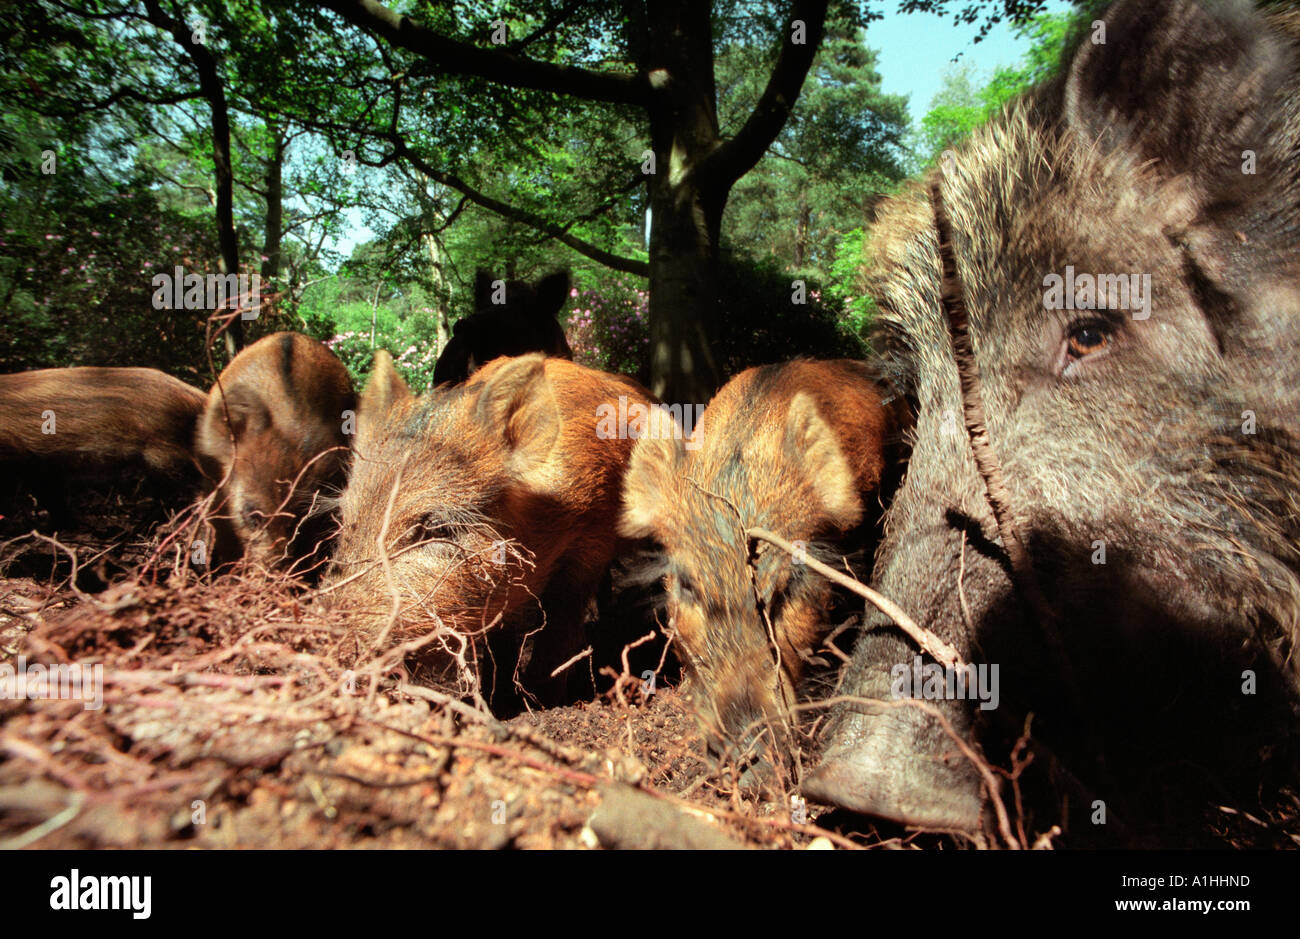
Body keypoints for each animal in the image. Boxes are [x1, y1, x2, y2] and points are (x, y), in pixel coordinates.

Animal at [330, 353, 655, 706]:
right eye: (346, 521)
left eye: (436, 527)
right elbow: (502, 634)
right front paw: (495, 699)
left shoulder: (592, 542)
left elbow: (561, 620)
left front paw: (545, 702)